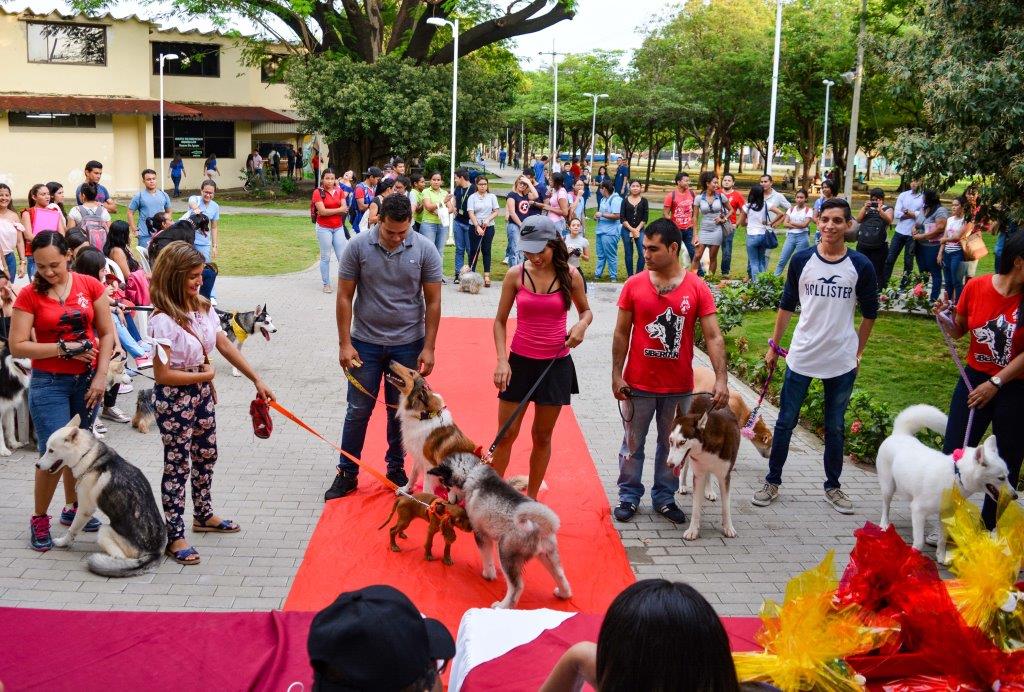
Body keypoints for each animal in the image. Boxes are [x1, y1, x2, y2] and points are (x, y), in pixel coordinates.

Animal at [37, 413, 165, 577]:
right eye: (47, 449)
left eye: (51, 450)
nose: (37, 465)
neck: (86, 454)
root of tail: (154, 553)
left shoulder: (85, 509)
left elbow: (72, 529)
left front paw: (63, 542)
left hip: (104, 530)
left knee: (120, 557)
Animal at [428, 456, 573, 610]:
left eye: (447, 486)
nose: (449, 501)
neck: (472, 472)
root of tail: (538, 525)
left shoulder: (481, 534)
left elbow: (486, 557)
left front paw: (488, 574)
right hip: (548, 554)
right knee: (560, 574)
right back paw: (564, 593)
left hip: (506, 552)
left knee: (517, 586)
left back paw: (503, 605)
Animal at [667, 395, 741, 540]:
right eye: (670, 440)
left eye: (682, 442)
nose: (669, 464)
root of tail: (705, 395)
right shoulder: (698, 475)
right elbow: (696, 507)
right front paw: (693, 530)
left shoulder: (725, 476)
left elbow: (726, 506)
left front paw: (728, 528)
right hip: (689, 460)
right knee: (685, 468)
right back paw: (682, 486)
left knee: (709, 474)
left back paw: (709, 491)